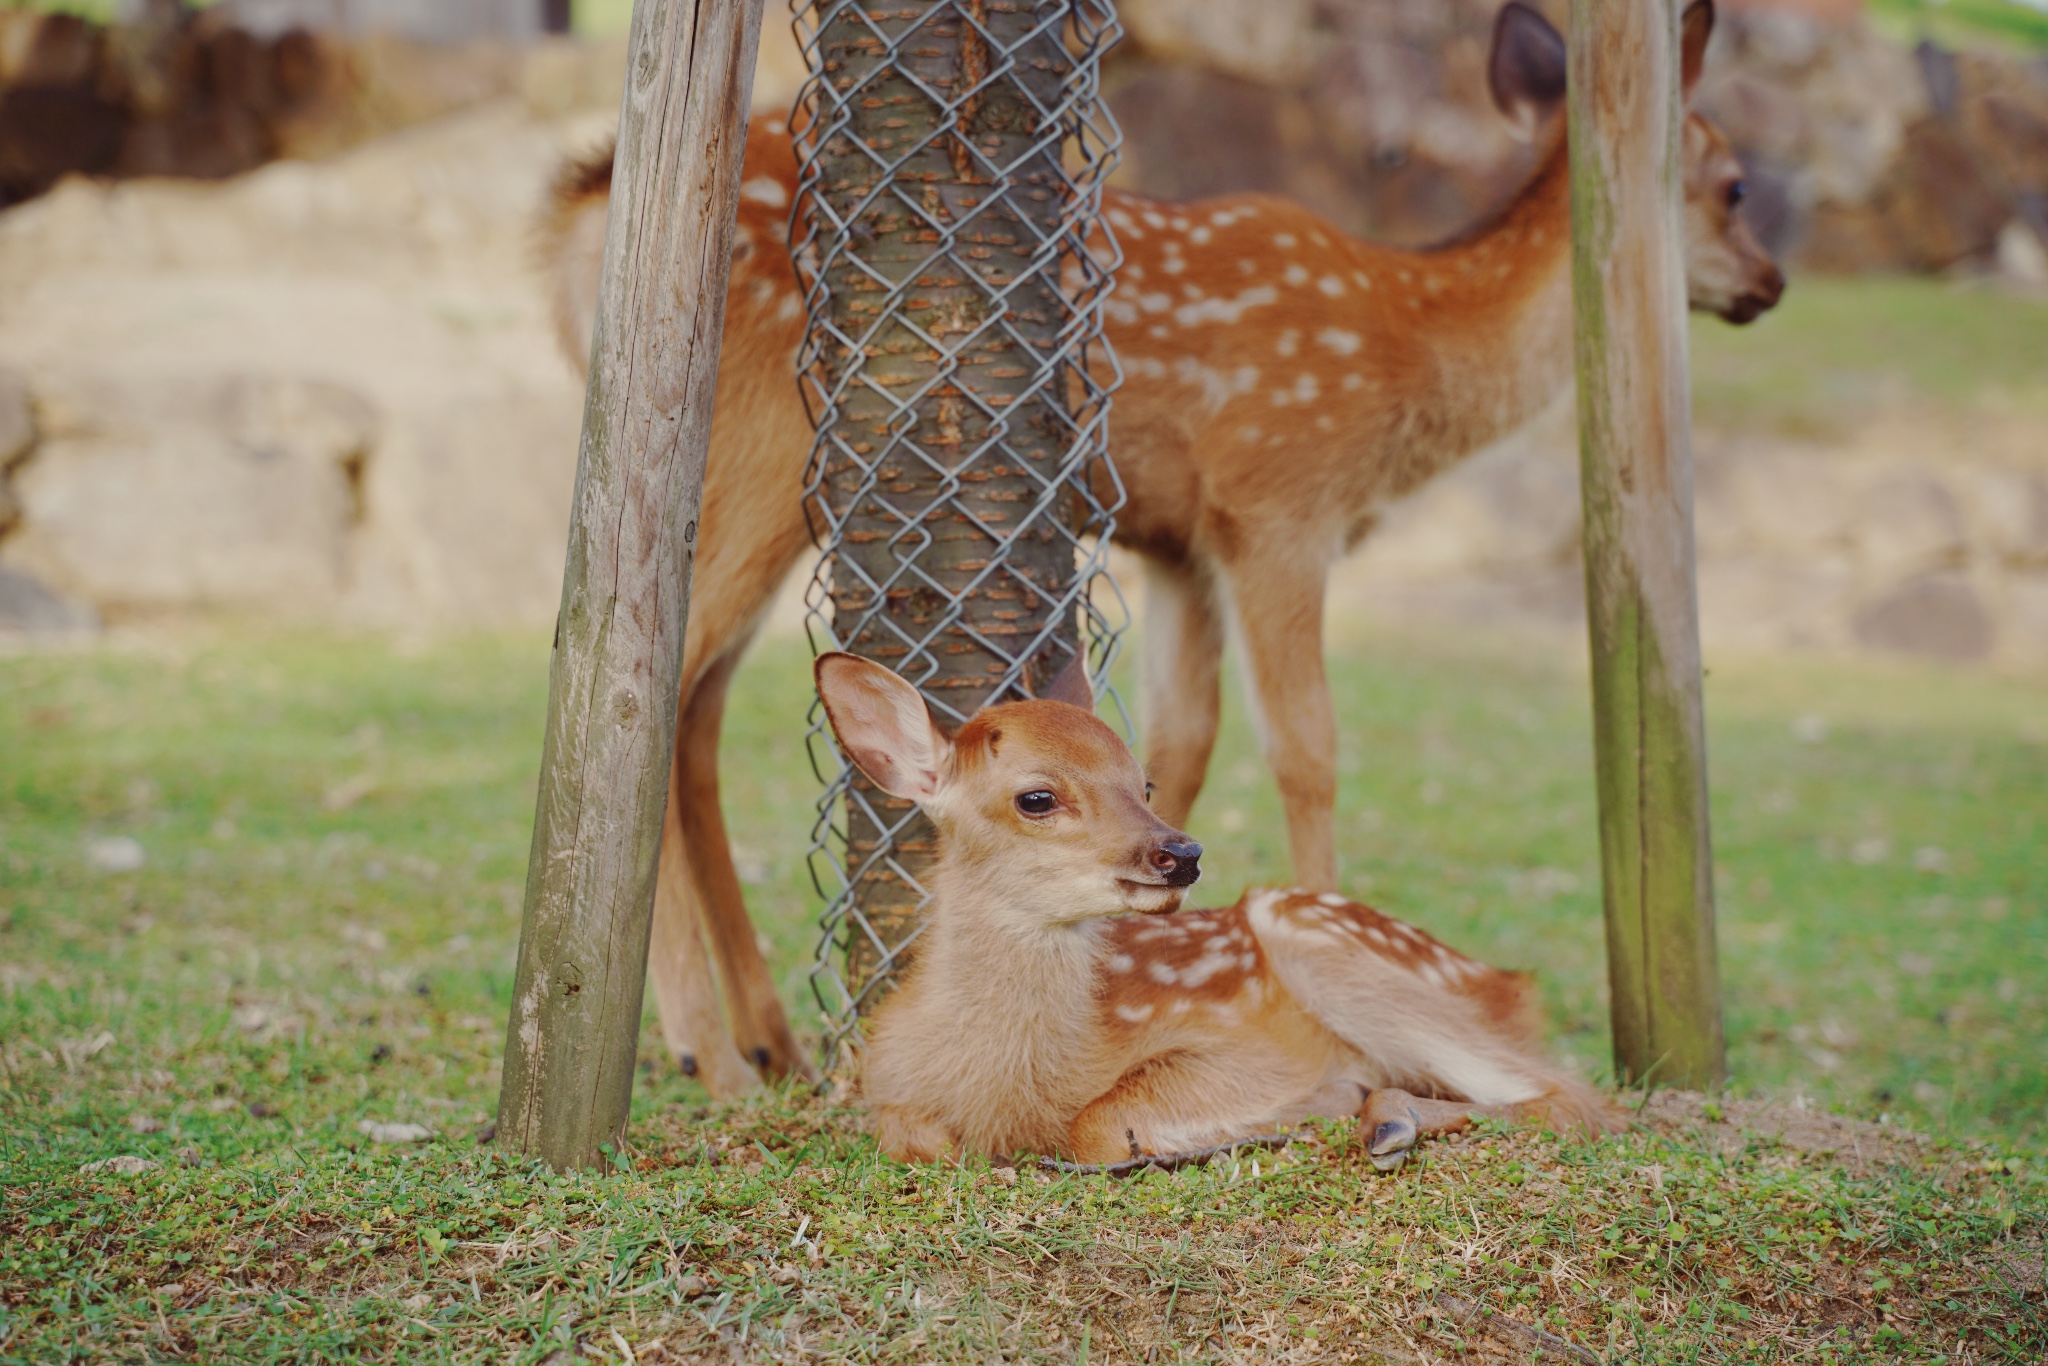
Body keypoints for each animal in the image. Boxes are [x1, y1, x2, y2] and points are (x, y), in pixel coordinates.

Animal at [540, 0, 1777, 1089]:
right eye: (1730, 186)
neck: (1406, 348)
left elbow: (1179, 741)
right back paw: (702, 1048)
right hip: (762, 446)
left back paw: (768, 1041)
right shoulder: (1278, 498)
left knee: (702, 707)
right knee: (653, 688)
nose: (1768, 283)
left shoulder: (1182, 545)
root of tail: (580, 218)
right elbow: (1306, 746)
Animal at [806, 651, 1622, 1163]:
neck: (1008, 1094)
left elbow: (1096, 1124)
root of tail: (1508, 983)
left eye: (1143, 783)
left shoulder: (1241, 1044)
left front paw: (1306, 1107)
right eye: (1036, 797)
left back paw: (1385, 1116)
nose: (1181, 853)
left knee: (1571, 1098)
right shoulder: (887, 1087)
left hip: (1330, 948)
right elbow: (914, 1138)